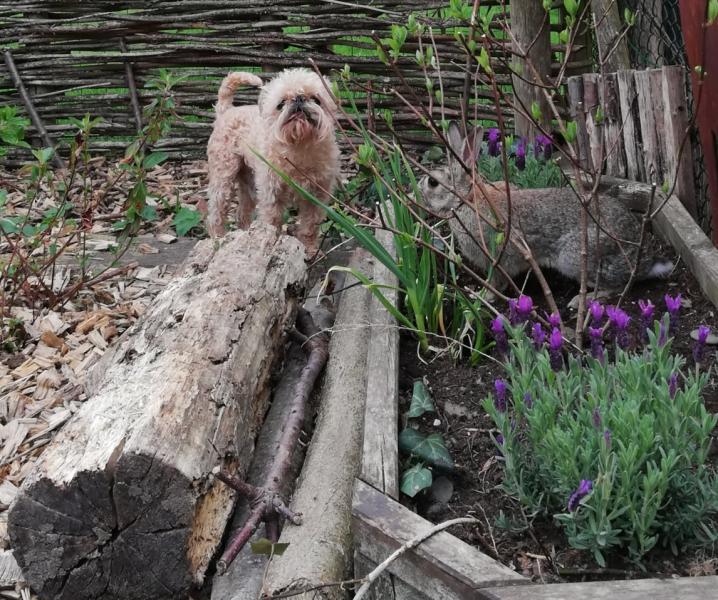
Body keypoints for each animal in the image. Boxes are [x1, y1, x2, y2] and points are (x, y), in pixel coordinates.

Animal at [207, 68, 342, 255]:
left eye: (316, 100)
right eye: (281, 104)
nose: (299, 98)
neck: (299, 146)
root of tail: (227, 110)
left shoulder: (316, 196)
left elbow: (310, 225)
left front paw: (310, 249)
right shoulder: (271, 193)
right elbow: (272, 221)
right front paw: (269, 242)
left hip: (248, 181)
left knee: (242, 212)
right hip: (223, 177)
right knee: (216, 212)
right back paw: (218, 239)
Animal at [422, 122, 676, 292]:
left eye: (432, 182)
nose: (416, 190)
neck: (466, 198)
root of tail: (644, 263)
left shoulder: (497, 257)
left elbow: (498, 281)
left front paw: (486, 294)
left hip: (577, 258)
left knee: (613, 288)